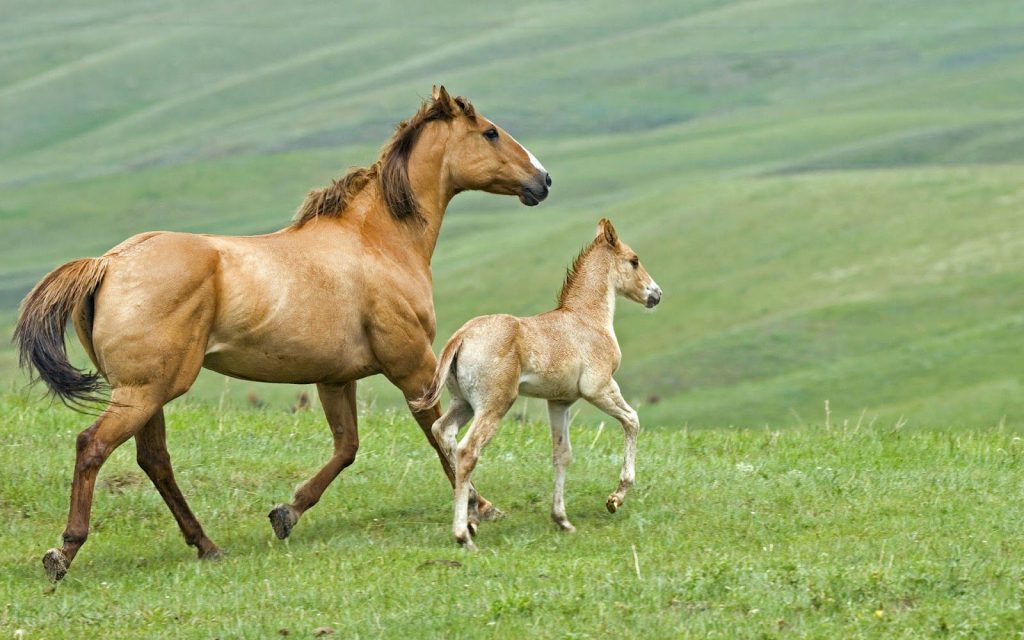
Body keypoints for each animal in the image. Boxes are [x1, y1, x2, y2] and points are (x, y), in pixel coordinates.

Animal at [14, 85, 552, 581]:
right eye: (490, 132)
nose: (543, 180)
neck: (378, 241)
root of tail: (108, 263)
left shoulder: (335, 378)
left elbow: (347, 448)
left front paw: (286, 513)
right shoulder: (412, 365)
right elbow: (439, 436)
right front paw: (481, 508)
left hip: (148, 391)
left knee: (154, 460)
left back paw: (206, 545)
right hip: (145, 391)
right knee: (93, 447)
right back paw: (64, 552)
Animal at [413, 218, 661, 549]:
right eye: (634, 260)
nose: (655, 294)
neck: (587, 319)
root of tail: (461, 336)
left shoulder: (559, 402)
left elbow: (562, 454)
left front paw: (562, 520)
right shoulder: (599, 389)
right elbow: (632, 420)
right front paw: (615, 498)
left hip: (463, 404)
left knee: (443, 431)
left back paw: (474, 513)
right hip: (495, 405)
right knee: (467, 451)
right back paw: (464, 535)